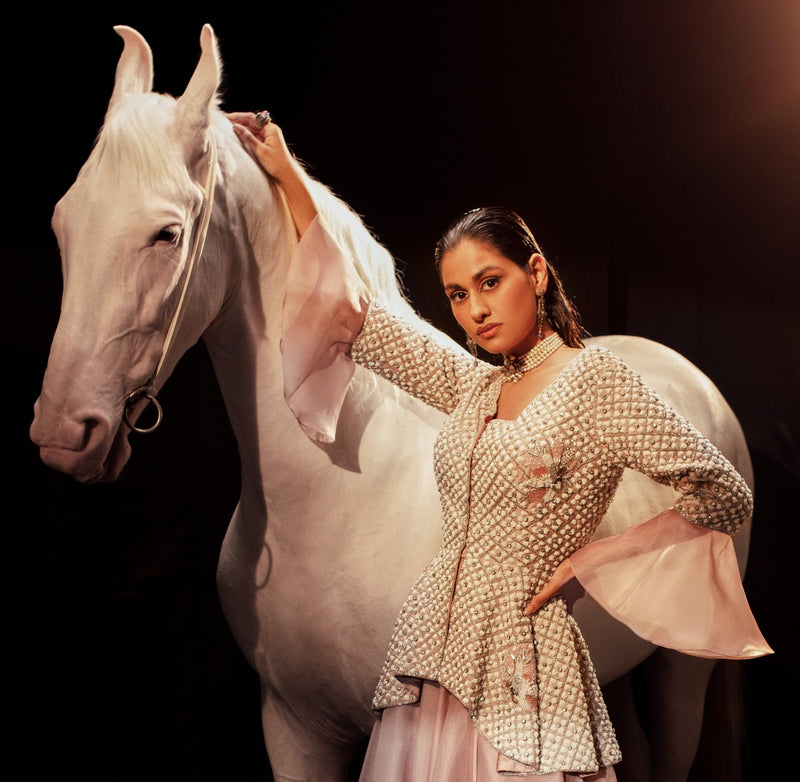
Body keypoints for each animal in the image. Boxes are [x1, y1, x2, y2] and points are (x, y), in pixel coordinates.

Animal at [31, 24, 752, 782]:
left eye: (166, 234)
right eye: (62, 222)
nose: (64, 430)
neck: (333, 497)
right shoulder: (293, 729)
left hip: (682, 672)